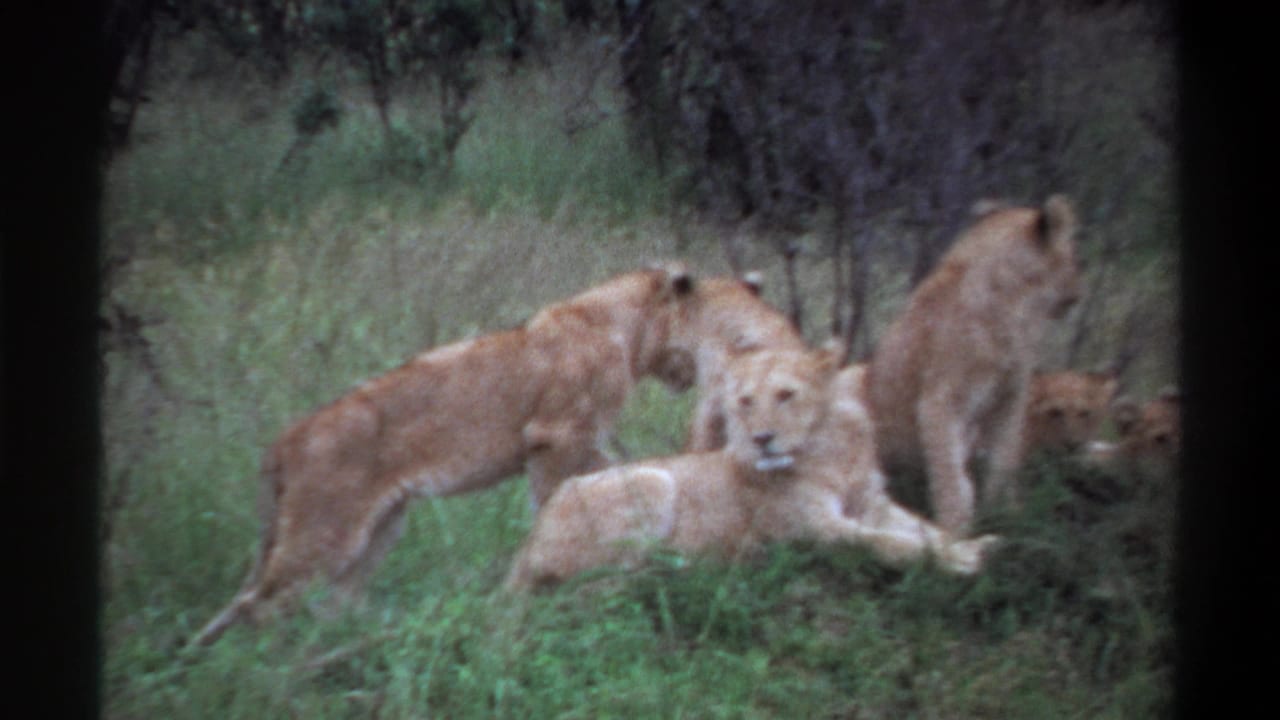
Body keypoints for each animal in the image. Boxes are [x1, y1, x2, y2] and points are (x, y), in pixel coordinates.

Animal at [190, 263, 770, 646]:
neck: (622, 326)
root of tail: (285, 441)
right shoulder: (556, 435)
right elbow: (556, 499)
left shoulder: (584, 441)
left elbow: (613, 478)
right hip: (327, 530)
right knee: (261, 604)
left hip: (381, 528)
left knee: (330, 601)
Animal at [504, 347, 1000, 591]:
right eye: (744, 402)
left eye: (785, 395)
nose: (762, 438)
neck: (831, 452)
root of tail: (526, 545)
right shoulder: (813, 530)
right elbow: (887, 543)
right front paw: (960, 561)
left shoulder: (873, 504)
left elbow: (924, 529)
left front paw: (973, 545)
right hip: (650, 479)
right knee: (603, 581)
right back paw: (695, 566)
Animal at [865, 195, 1082, 535]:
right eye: (1075, 254)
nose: (1079, 289)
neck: (1016, 306)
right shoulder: (939, 401)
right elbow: (951, 478)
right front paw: (954, 532)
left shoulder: (1011, 396)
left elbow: (1004, 458)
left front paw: (1008, 514)